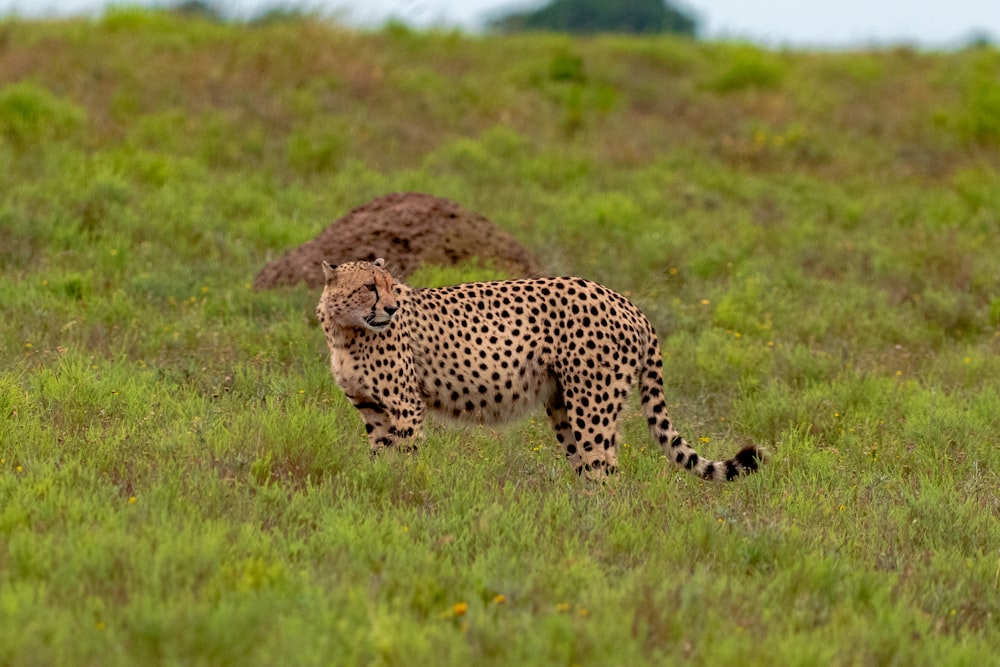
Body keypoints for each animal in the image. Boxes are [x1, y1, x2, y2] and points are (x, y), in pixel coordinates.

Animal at [314, 258, 764, 482]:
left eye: (391, 286)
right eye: (370, 287)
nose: (391, 308)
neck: (347, 330)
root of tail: (623, 299)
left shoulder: (405, 406)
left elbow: (405, 460)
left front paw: (402, 496)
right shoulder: (372, 409)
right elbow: (379, 458)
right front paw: (379, 490)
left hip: (592, 405)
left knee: (607, 470)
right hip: (563, 404)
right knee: (589, 468)